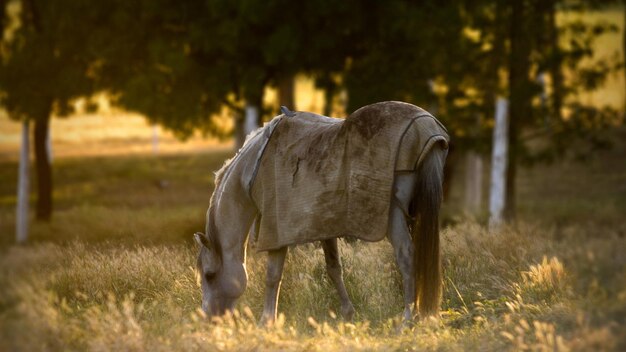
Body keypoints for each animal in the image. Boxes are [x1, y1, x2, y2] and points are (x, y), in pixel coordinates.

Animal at [193, 100, 446, 324]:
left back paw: (407, 320)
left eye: (209, 275)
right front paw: (347, 316)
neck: (253, 169)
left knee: (406, 257)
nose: (210, 319)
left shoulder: (276, 231)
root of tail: (426, 127)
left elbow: (273, 276)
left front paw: (266, 323)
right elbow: (334, 269)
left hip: (394, 215)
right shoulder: (325, 224)